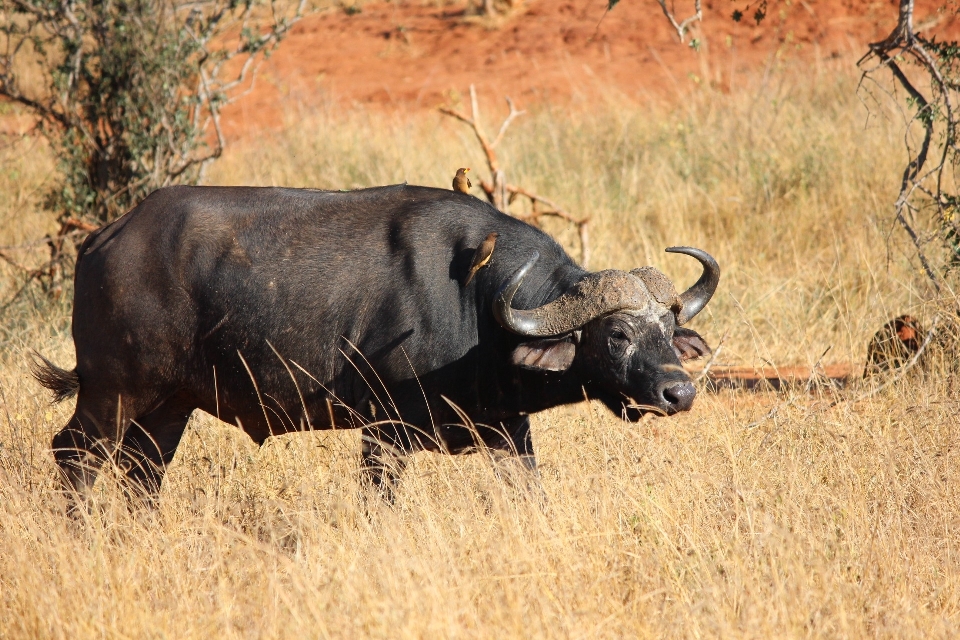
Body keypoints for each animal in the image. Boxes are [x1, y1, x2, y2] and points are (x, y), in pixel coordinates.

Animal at [33, 185, 716, 504]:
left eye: (666, 329)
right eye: (618, 335)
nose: (677, 393)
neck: (477, 306)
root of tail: (103, 239)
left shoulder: (506, 430)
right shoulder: (385, 433)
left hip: (169, 405)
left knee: (142, 474)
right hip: (112, 393)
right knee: (76, 456)